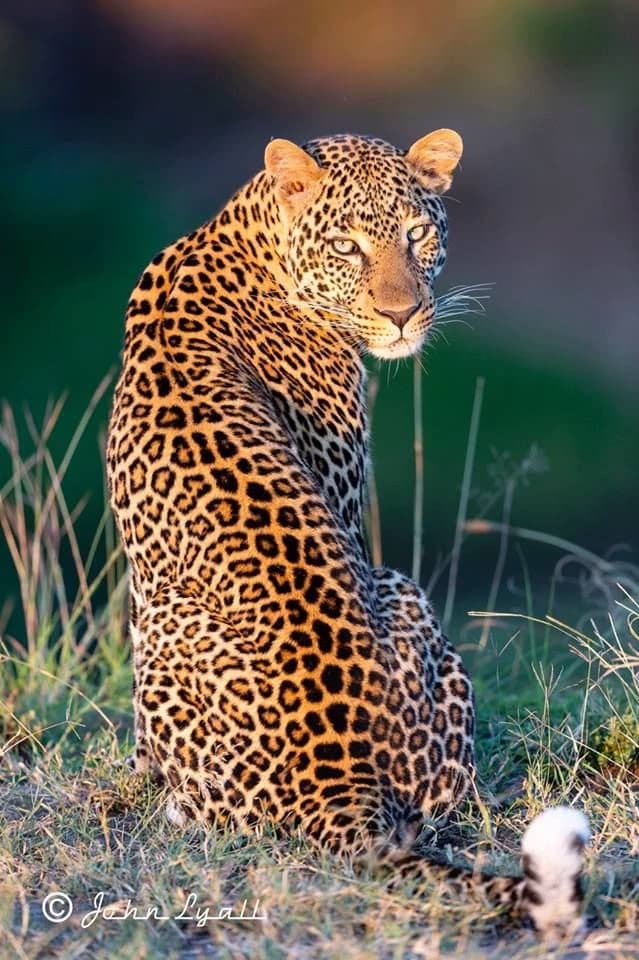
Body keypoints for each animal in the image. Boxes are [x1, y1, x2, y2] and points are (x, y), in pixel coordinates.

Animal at [106, 129, 590, 937]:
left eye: (416, 234)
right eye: (346, 246)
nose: (402, 315)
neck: (248, 233)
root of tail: (339, 774)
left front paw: (137, 771)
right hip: (400, 589)